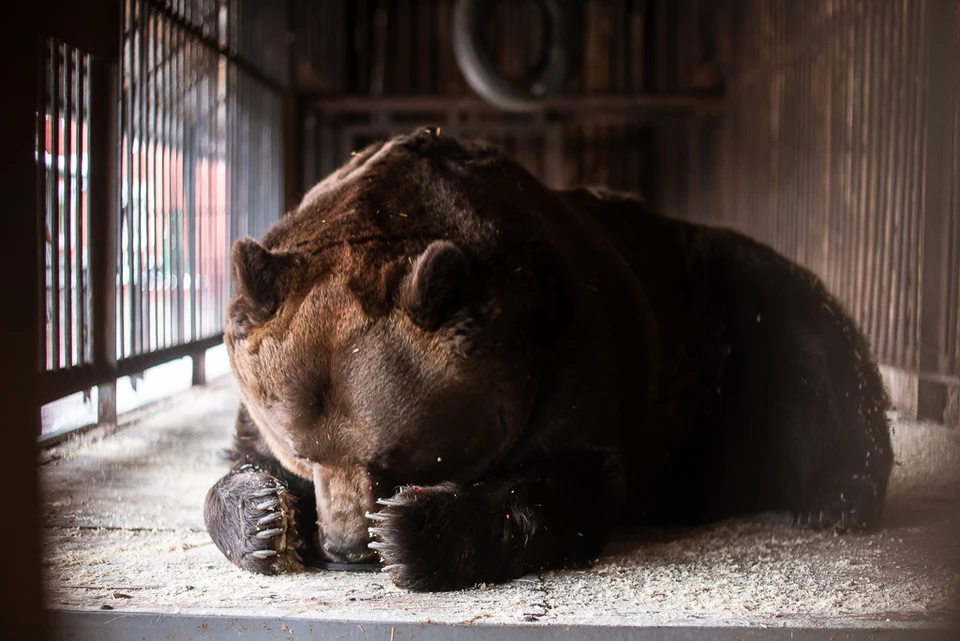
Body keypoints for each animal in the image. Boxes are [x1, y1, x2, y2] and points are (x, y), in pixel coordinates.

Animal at [206, 127, 896, 592]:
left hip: (742, 300)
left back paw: (837, 497)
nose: (347, 547)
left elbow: (571, 483)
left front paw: (408, 532)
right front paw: (263, 517)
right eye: (301, 451)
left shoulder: (570, 347)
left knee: (823, 361)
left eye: (397, 459)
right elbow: (238, 465)